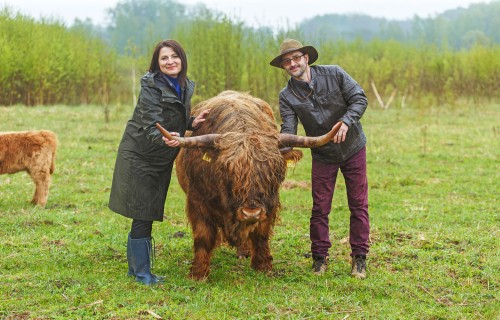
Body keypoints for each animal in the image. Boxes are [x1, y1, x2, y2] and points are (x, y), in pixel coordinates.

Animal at [157, 90, 344, 280]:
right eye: (227, 169)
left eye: (273, 171)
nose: (251, 212)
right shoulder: (198, 200)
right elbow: (204, 236)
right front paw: (198, 273)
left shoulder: (270, 202)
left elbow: (261, 234)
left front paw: (263, 266)